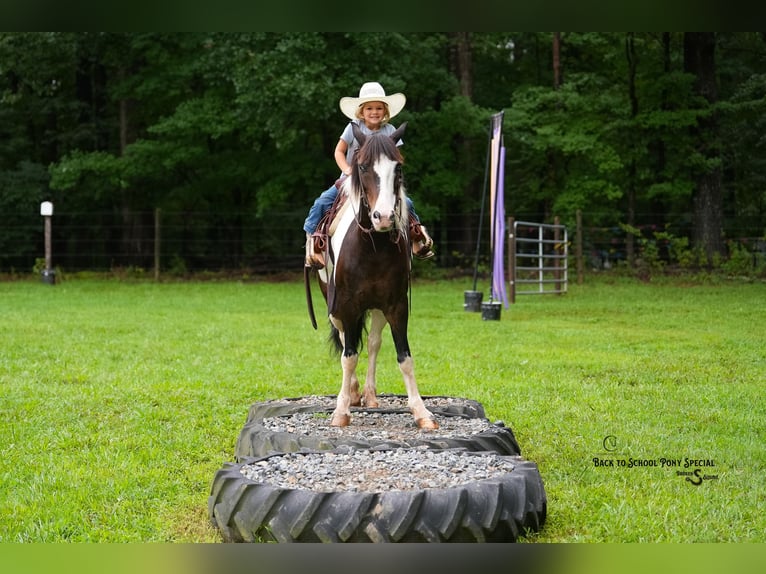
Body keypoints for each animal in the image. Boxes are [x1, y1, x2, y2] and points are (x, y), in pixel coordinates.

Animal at [307, 122, 438, 430]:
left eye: (398, 167)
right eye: (363, 166)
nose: (384, 217)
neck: (372, 247)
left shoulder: (397, 305)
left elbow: (404, 357)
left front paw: (421, 412)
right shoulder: (347, 305)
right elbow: (349, 356)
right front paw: (341, 411)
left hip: (378, 308)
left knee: (374, 342)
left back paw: (369, 395)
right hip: (333, 304)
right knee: (346, 340)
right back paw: (353, 393)